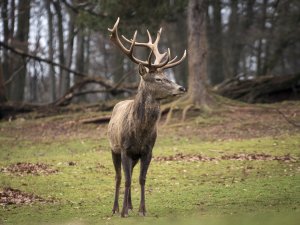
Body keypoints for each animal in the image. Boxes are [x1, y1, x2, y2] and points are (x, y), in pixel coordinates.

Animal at [108, 18, 186, 217]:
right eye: (157, 79)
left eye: (165, 75)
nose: (181, 88)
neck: (140, 131)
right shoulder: (125, 149)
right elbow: (127, 180)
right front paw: (123, 212)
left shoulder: (148, 150)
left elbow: (142, 179)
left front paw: (142, 210)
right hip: (113, 148)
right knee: (119, 177)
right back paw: (116, 208)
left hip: (134, 156)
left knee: (129, 174)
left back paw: (129, 205)